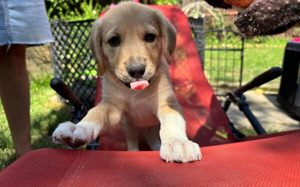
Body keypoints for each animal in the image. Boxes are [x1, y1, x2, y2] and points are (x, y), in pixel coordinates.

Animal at [52, 1, 202, 162]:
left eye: (150, 37)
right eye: (114, 41)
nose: (136, 70)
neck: (134, 93)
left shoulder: (167, 104)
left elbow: (172, 122)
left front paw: (177, 142)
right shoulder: (112, 106)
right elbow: (95, 113)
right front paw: (79, 127)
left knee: (152, 138)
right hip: (127, 127)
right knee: (132, 141)